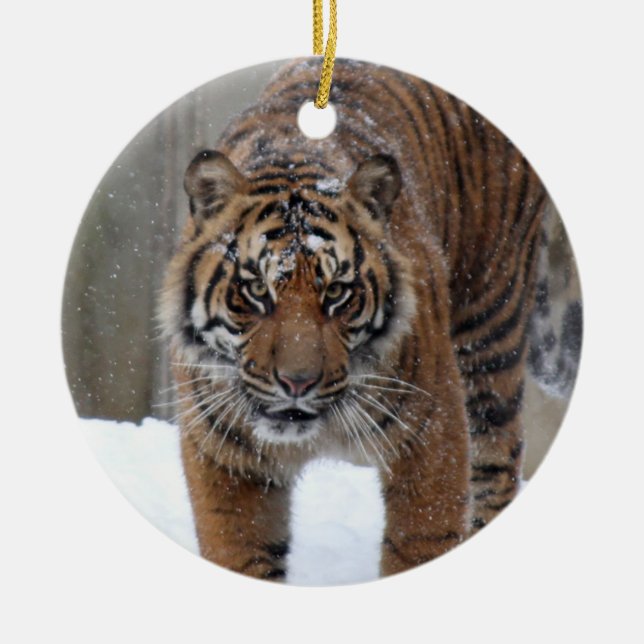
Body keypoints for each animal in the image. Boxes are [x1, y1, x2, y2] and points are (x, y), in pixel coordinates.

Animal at [159, 58, 578, 581]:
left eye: (337, 293)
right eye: (257, 290)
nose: (297, 383)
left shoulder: (432, 435)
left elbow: (419, 542)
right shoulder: (224, 457)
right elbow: (241, 551)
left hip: (489, 335)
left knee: (497, 465)